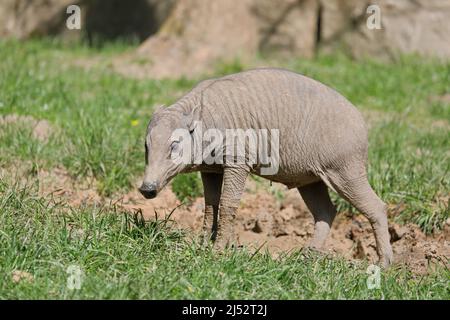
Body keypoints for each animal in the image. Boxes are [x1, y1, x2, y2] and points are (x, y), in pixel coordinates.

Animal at [139, 68, 392, 268]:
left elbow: (227, 204)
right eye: (146, 146)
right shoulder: (210, 170)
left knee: (377, 207)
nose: (146, 189)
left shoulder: (238, 162)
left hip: (345, 173)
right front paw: (202, 244)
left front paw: (218, 250)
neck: (203, 121)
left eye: (174, 145)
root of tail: (363, 125)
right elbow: (210, 205)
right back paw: (307, 255)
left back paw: (383, 264)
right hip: (311, 180)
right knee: (326, 212)